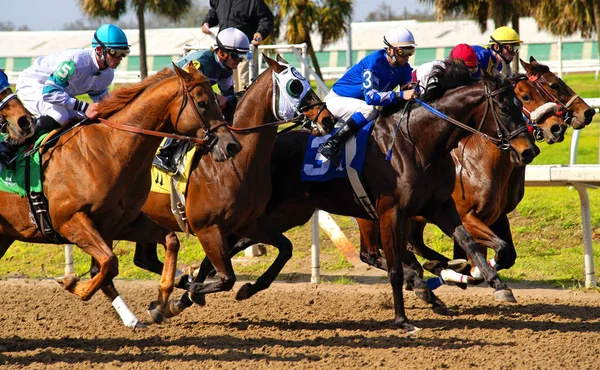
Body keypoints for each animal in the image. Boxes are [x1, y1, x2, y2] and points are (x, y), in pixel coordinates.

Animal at [0, 63, 239, 326]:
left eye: (217, 100)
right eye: (203, 103)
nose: (231, 145)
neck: (110, 149)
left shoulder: (121, 222)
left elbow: (169, 241)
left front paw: (162, 299)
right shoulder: (69, 221)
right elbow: (108, 264)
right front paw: (72, 283)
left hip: (5, 234)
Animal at [130, 54, 338, 316]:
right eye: (295, 86)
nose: (328, 119)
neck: (232, 164)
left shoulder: (249, 223)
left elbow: (285, 248)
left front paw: (247, 288)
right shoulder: (208, 229)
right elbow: (226, 277)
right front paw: (189, 293)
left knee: (144, 259)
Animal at [188, 62, 540, 330]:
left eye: (520, 103)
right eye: (506, 106)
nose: (529, 150)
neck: (419, 142)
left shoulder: (441, 207)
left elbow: (470, 243)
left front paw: (497, 284)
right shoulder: (392, 212)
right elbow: (397, 266)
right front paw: (402, 319)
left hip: (286, 214)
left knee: (237, 246)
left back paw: (197, 290)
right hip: (267, 213)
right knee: (226, 243)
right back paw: (194, 288)